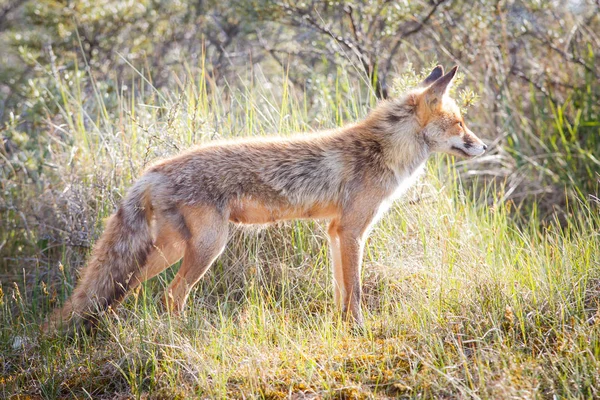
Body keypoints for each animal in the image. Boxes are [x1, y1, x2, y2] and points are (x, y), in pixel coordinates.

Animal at [45, 65, 488, 332]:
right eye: (459, 124)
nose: (484, 146)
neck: (380, 151)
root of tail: (153, 169)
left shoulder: (335, 231)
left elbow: (341, 289)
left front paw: (342, 327)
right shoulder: (352, 230)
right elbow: (357, 290)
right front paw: (359, 329)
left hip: (170, 249)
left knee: (127, 288)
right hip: (209, 247)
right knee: (171, 294)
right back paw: (179, 335)